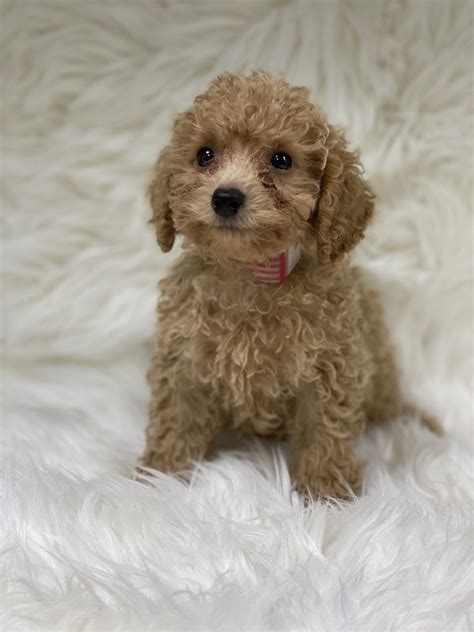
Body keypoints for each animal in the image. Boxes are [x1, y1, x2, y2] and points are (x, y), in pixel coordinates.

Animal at [138, 71, 436, 502]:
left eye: (281, 160)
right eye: (204, 155)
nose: (226, 197)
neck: (252, 273)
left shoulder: (330, 366)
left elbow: (324, 431)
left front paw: (326, 492)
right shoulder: (184, 359)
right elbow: (176, 416)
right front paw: (158, 477)